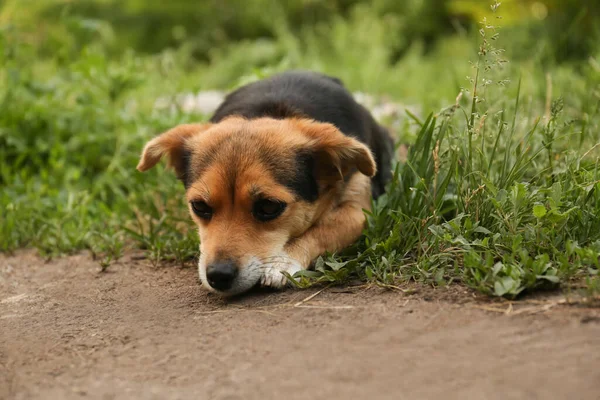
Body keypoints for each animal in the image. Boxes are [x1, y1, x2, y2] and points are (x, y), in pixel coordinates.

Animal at [138, 72, 396, 296]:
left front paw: (283, 261)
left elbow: (324, 229)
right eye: (199, 206)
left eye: (269, 206)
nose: (218, 275)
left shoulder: (358, 210)